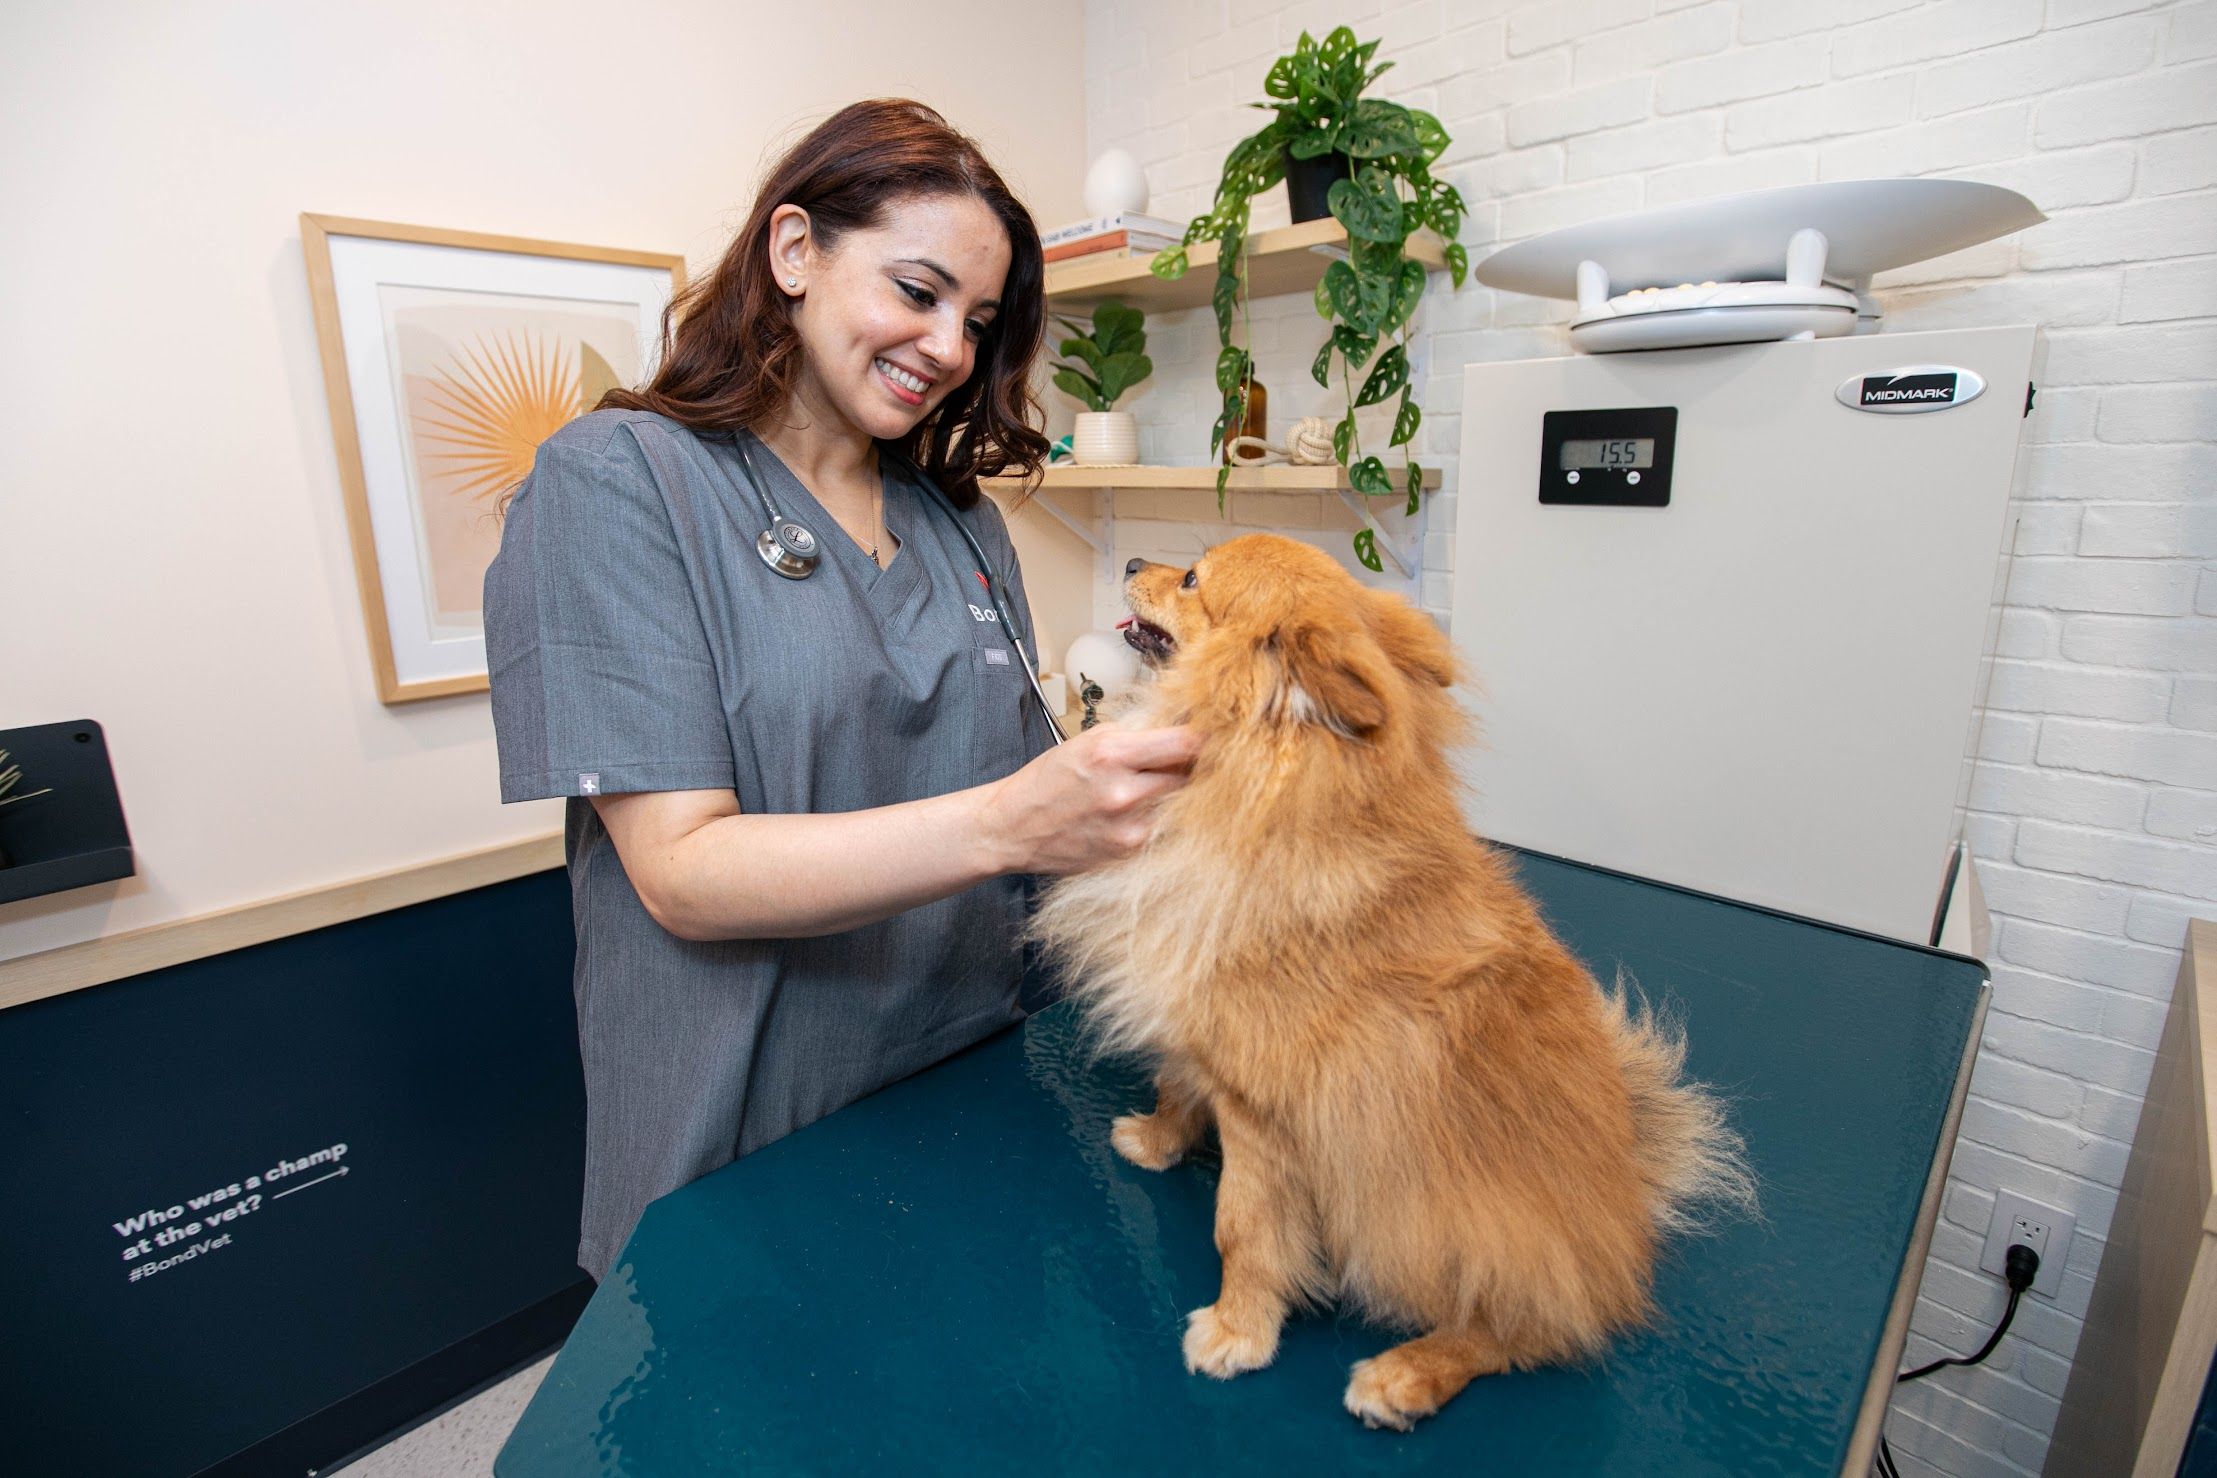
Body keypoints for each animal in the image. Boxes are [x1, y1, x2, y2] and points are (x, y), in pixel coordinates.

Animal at [1028, 534, 1755, 1435]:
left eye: (1192, 577)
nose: (1129, 561)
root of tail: (1626, 1187)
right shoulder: (1207, 1032)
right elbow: (1177, 1086)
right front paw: (1159, 1143)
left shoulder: (1261, 1112)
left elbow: (1243, 1229)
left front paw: (1238, 1329)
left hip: (1431, 1224)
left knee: (1533, 1324)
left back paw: (1405, 1375)